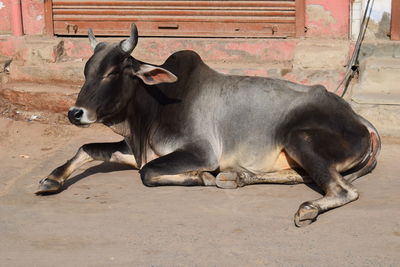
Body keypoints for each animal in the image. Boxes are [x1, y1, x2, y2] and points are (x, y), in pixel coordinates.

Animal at [36, 24, 382, 227]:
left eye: (111, 73)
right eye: (86, 72)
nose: (75, 113)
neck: (154, 105)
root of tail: (358, 118)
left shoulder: (200, 152)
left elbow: (148, 173)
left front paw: (199, 177)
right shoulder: (134, 149)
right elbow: (86, 148)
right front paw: (51, 179)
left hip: (300, 138)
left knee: (343, 189)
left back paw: (308, 207)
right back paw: (239, 177)